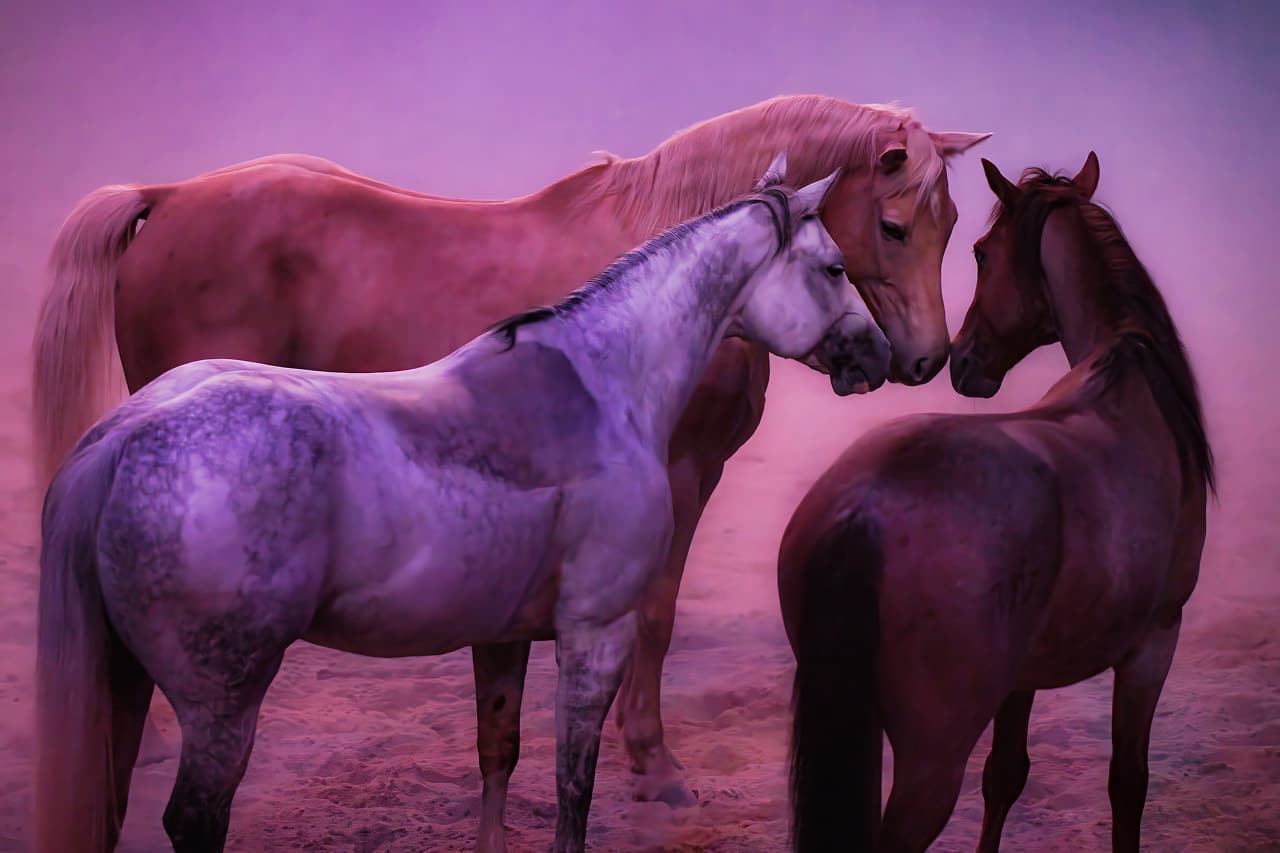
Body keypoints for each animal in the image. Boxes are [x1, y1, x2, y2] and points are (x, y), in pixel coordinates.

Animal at [31, 95, 988, 803]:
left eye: (952, 227)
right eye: (893, 228)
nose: (920, 359)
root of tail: (171, 195)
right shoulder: (682, 474)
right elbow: (657, 614)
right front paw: (655, 764)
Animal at [778, 152, 1213, 852]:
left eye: (981, 253)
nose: (962, 362)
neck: (1126, 367)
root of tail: (862, 512)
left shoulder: (1023, 672)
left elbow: (1005, 775)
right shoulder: (1154, 644)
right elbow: (1128, 784)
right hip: (930, 765)